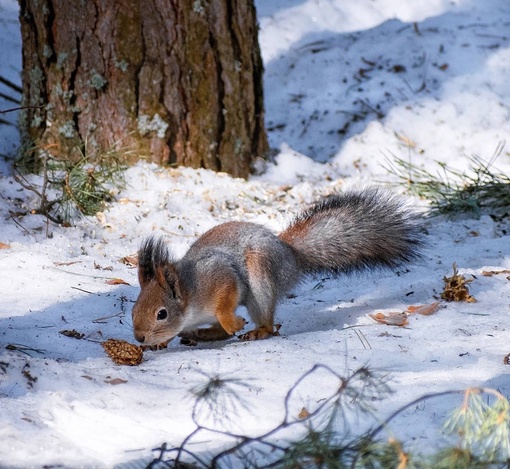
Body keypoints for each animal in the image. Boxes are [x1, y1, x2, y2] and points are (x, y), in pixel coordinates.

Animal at [130, 188, 422, 346]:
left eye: (162, 314)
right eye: (133, 310)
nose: (140, 339)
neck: (190, 301)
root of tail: (288, 252)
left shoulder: (217, 277)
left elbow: (224, 301)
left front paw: (232, 321)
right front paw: (161, 343)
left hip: (261, 278)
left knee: (268, 324)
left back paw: (256, 330)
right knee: (219, 332)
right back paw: (203, 334)